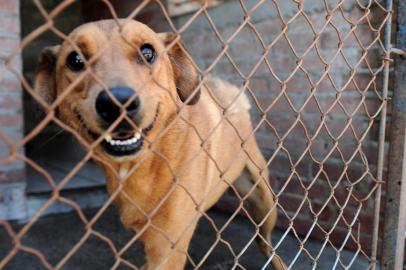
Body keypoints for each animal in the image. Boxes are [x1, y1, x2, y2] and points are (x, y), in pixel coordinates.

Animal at [34, 19, 282, 270]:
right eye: (75, 60)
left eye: (147, 52)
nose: (117, 103)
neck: (140, 166)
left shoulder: (167, 249)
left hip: (265, 202)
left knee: (266, 244)